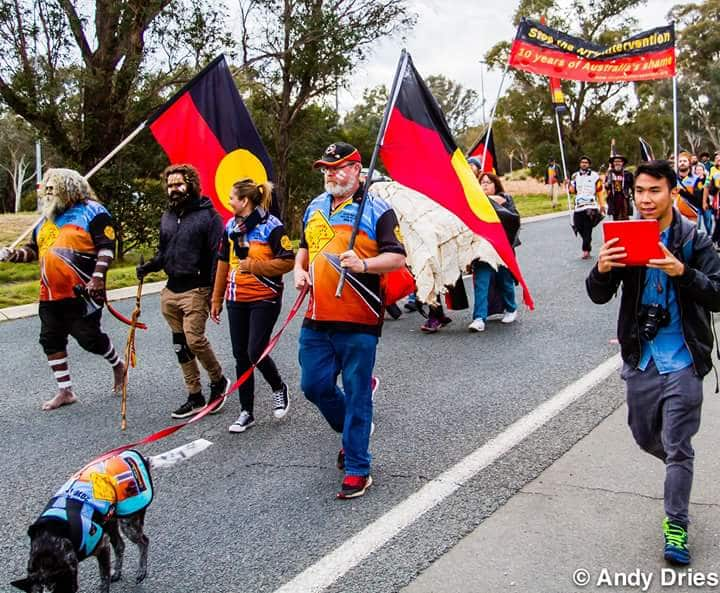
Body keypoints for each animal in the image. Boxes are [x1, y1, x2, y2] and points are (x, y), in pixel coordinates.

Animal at [11, 438, 211, 588]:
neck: (53, 535)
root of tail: (143, 460)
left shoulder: (102, 546)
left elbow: (103, 578)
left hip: (128, 523)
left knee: (143, 542)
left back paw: (141, 571)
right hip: (111, 522)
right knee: (121, 546)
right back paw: (119, 572)